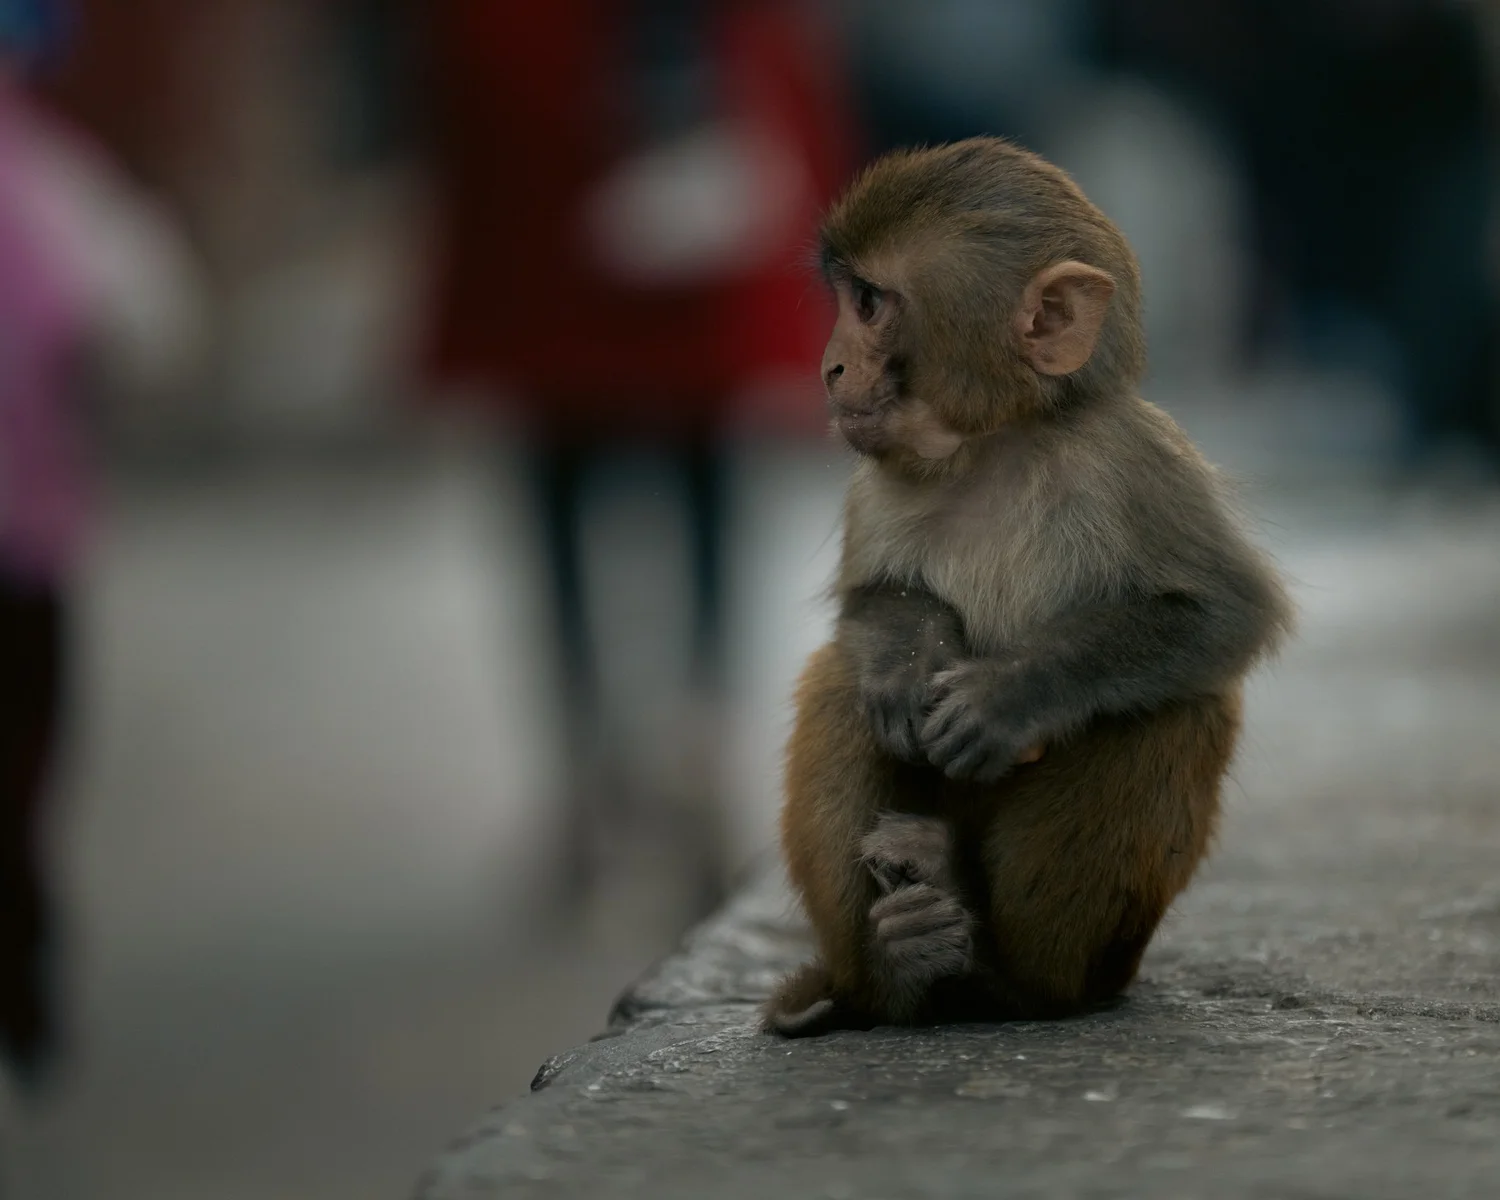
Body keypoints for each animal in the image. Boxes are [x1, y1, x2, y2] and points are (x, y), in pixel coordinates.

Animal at [763, 137, 1293, 1038]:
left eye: (868, 302)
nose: (828, 367)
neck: (994, 445)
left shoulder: (1134, 458)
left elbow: (1218, 612)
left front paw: (1008, 696)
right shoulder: (874, 484)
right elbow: (872, 602)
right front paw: (908, 661)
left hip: (1110, 948)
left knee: (1170, 708)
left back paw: (1007, 975)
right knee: (839, 679)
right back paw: (893, 971)